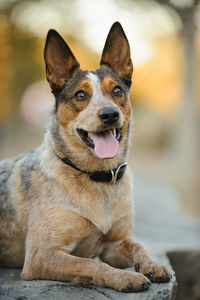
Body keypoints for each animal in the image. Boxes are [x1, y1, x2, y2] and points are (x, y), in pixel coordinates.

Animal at [0, 21, 172, 292]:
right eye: (80, 95)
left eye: (117, 91)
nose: (110, 114)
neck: (96, 176)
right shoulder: (42, 256)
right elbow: (90, 264)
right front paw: (124, 277)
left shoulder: (115, 244)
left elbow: (138, 245)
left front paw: (153, 264)